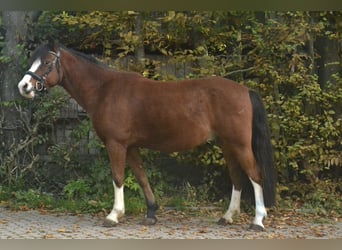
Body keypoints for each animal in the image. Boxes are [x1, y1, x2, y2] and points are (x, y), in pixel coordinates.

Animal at [18, 42, 276, 230]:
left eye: (47, 62)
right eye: (32, 61)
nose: (24, 87)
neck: (104, 90)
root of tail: (245, 90)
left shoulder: (116, 144)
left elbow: (118, 177)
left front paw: (113, 215)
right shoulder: (131, 146)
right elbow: (141, 177)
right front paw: (151, 212)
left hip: (240, 145)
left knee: (255, 175)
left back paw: (257, 221)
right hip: (227, 144)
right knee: (237, 177)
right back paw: (227, 217)